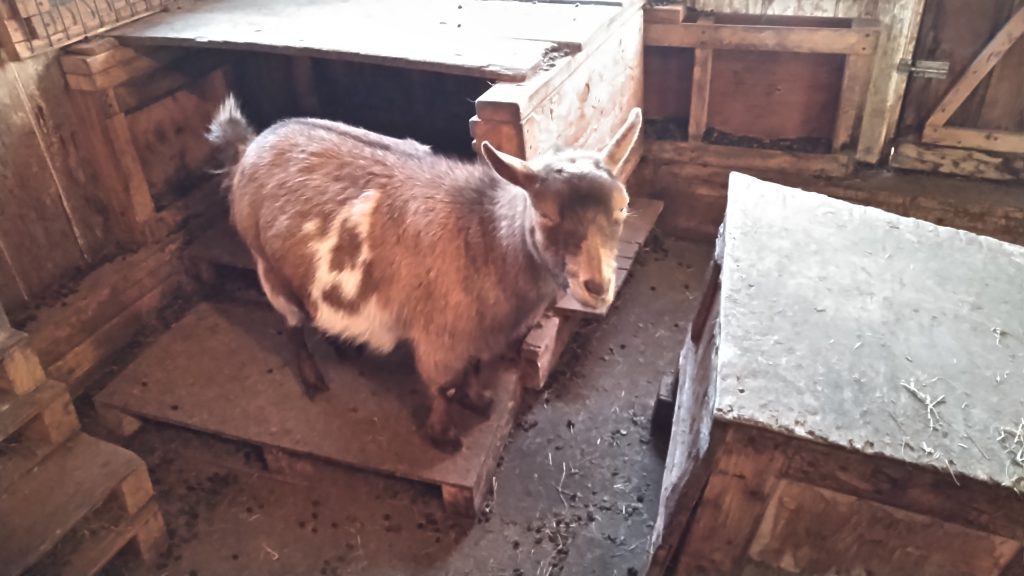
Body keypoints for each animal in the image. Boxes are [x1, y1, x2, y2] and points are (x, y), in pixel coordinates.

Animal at [206, 96, 638, 450]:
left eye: (622, 206)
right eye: (545, 213)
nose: (597, 285)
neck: (486, 239)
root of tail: (251, 146)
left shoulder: (476, 332)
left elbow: (474, 368)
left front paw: (478, 401)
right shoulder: (439, 334)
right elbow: (442, 386)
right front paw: (443, 434)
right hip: (268, 266)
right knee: (292, 324)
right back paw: (312, 378)